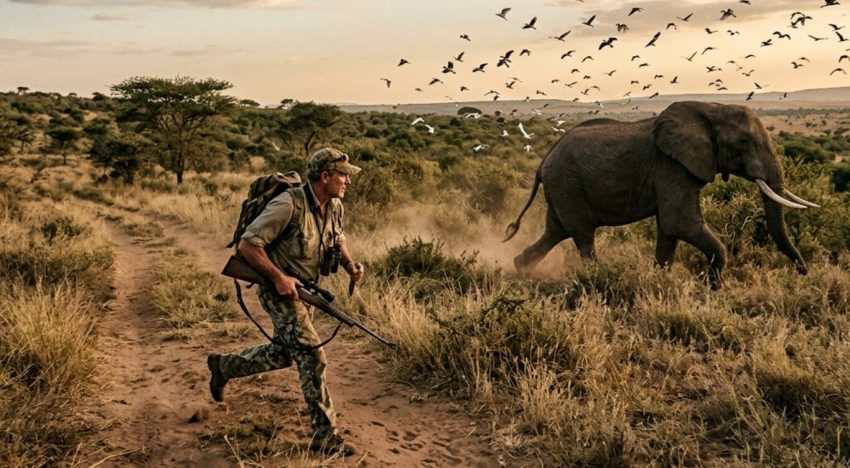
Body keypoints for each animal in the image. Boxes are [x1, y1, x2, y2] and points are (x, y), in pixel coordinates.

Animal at [503, 101, 819, 288]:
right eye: (743, 141)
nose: (803, 273)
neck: (711, 108)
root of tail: (543, 161)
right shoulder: (672, 165)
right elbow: (680, 222)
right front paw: (715, 289)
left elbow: (669, 231)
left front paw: (660, 282)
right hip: (567, 184)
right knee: (581, 235)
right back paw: (596, 279)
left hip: (562, 188)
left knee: (556, 231)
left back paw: (521, 270)